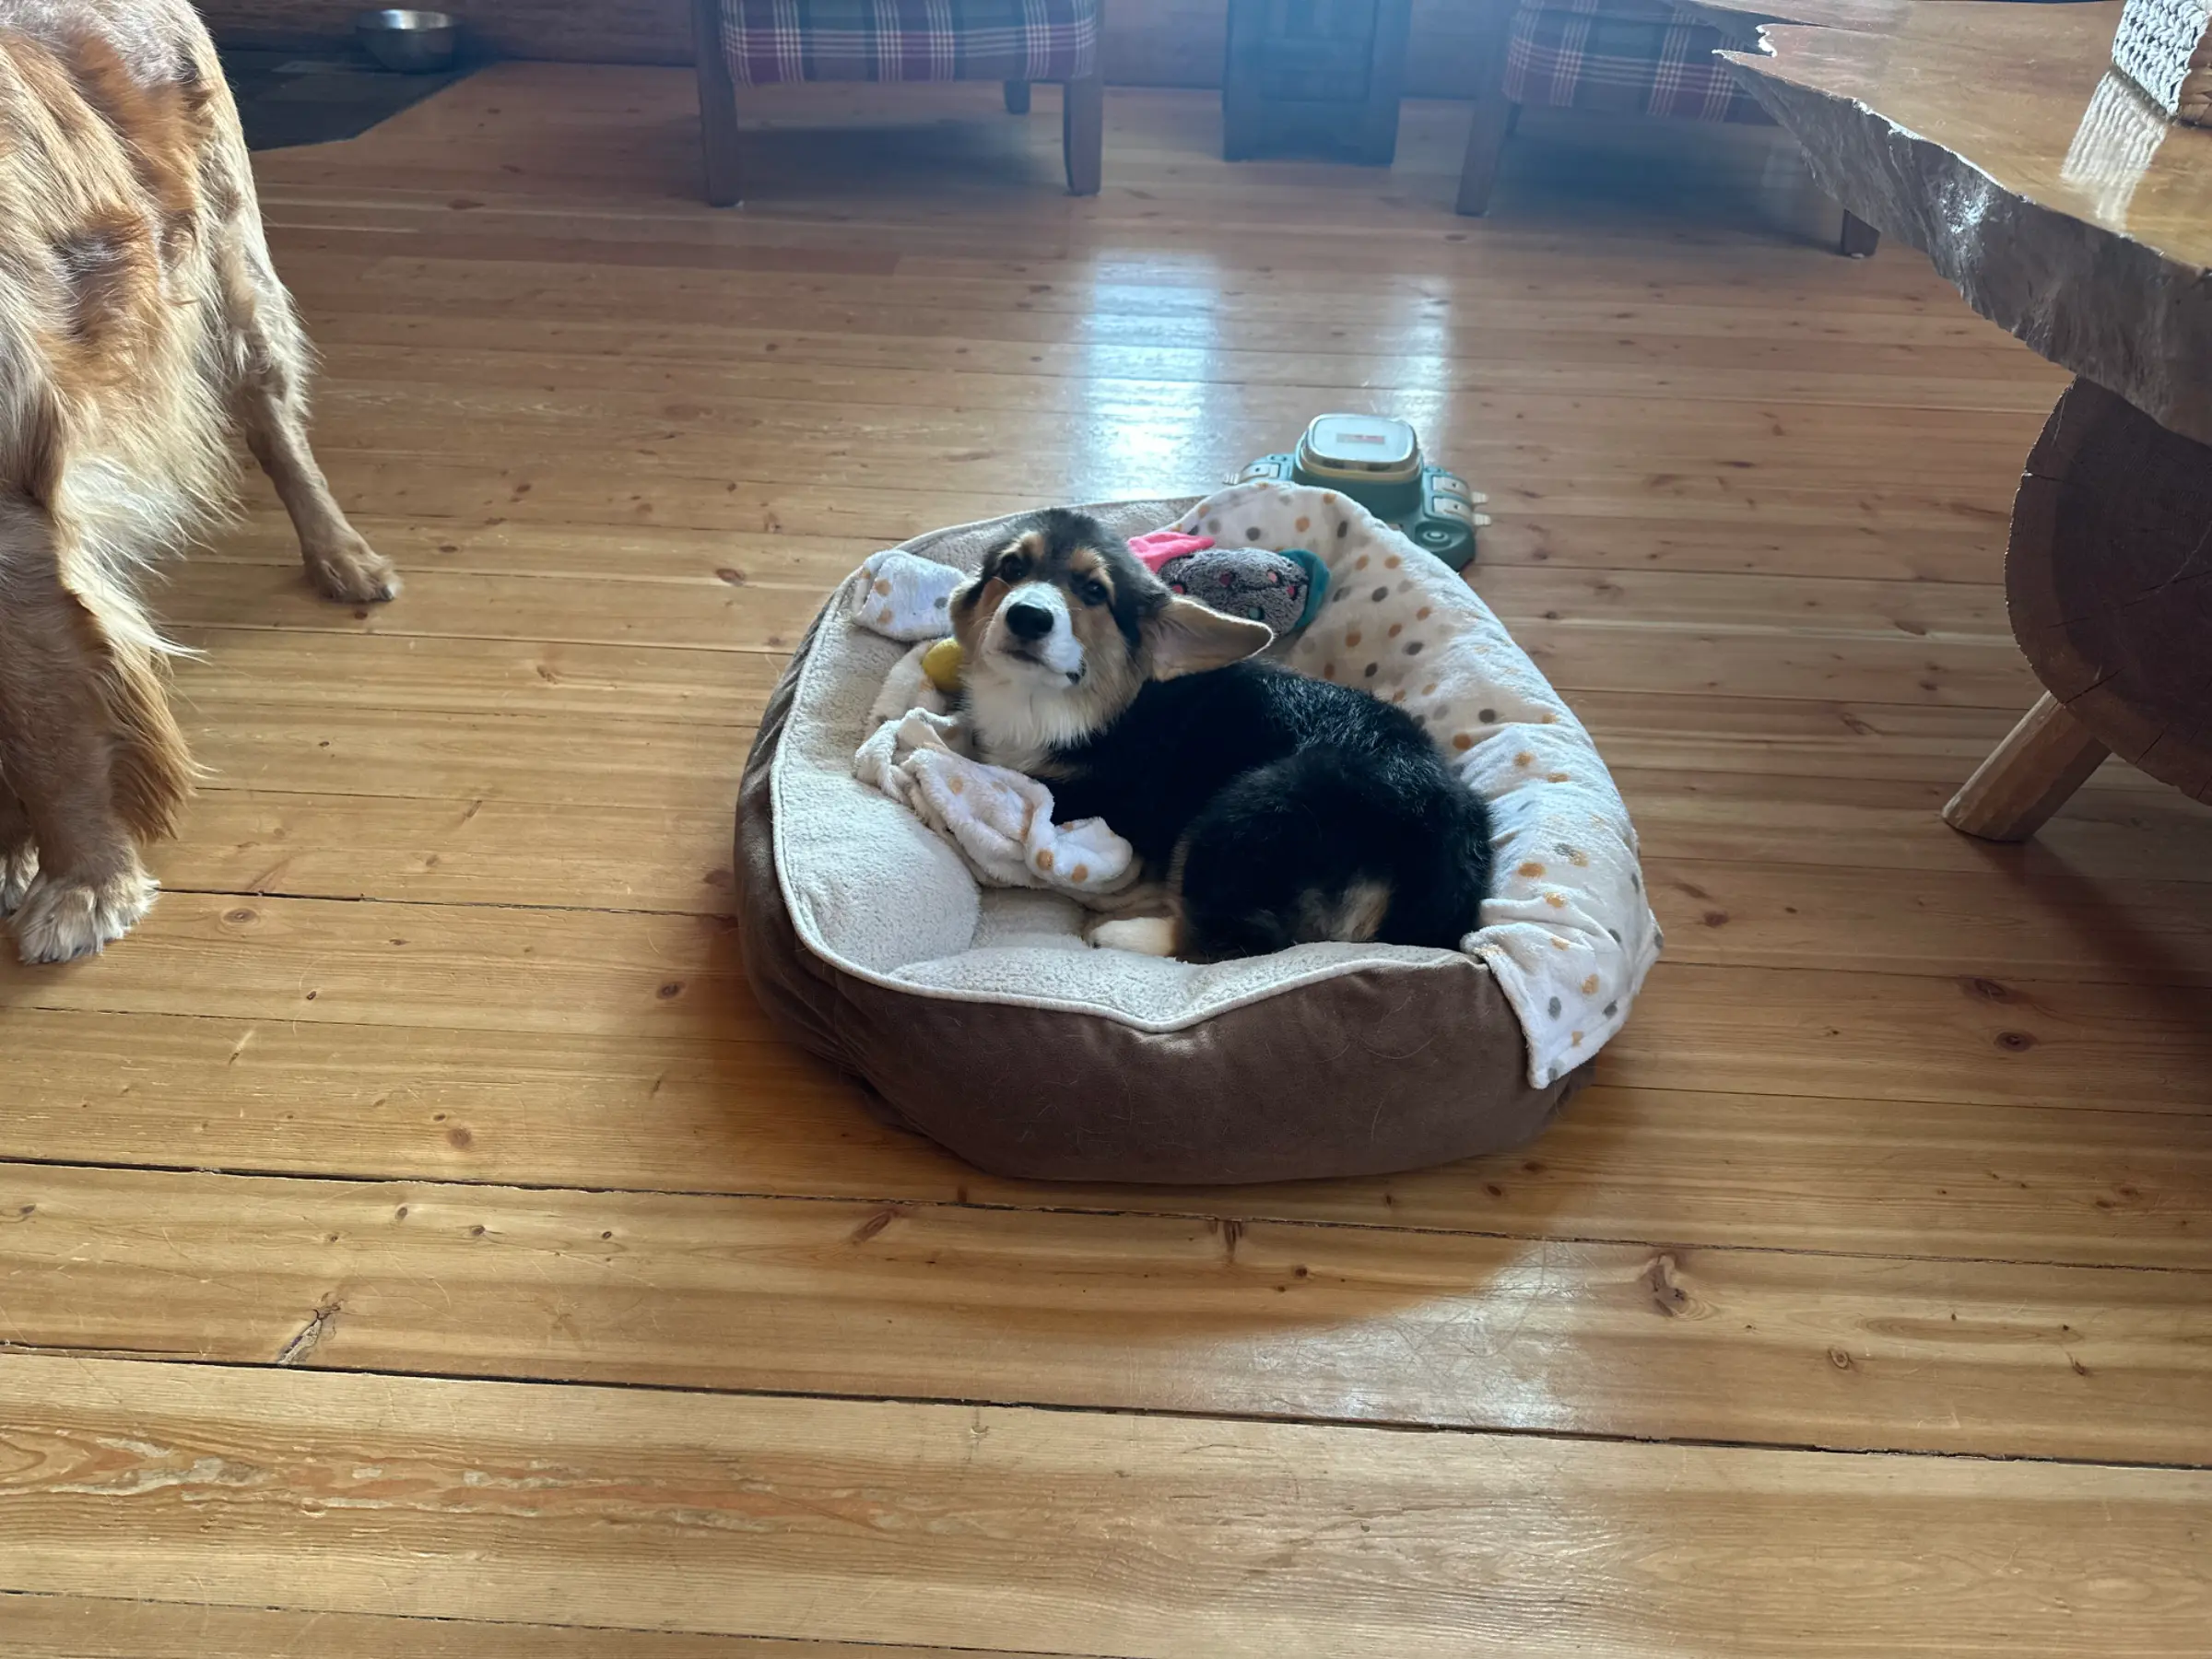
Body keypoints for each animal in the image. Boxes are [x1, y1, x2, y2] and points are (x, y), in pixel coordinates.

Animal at [948, 508, 1493, 962]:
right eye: (1012, 568)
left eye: (1095, 592)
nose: (1027, 616)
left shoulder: (1089, 797)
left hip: (1245, 810)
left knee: (1236, 938)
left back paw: (1121, 932)